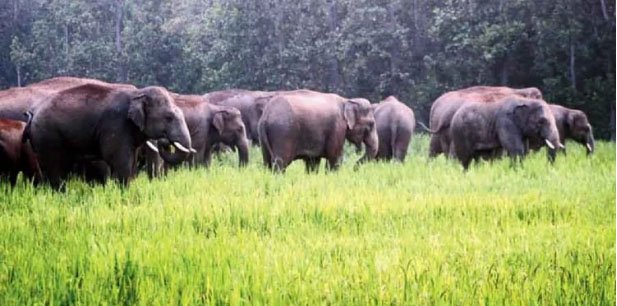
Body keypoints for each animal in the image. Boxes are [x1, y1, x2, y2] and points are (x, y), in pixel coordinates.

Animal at [26, 83, 191, 189]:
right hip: (47, 137)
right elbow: (120, 161)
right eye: (169, 117)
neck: (137, 93)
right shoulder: (116, 126)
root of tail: (33, 113)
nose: (164, 140)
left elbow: (131, 162)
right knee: (55, 168)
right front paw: (124, 194)